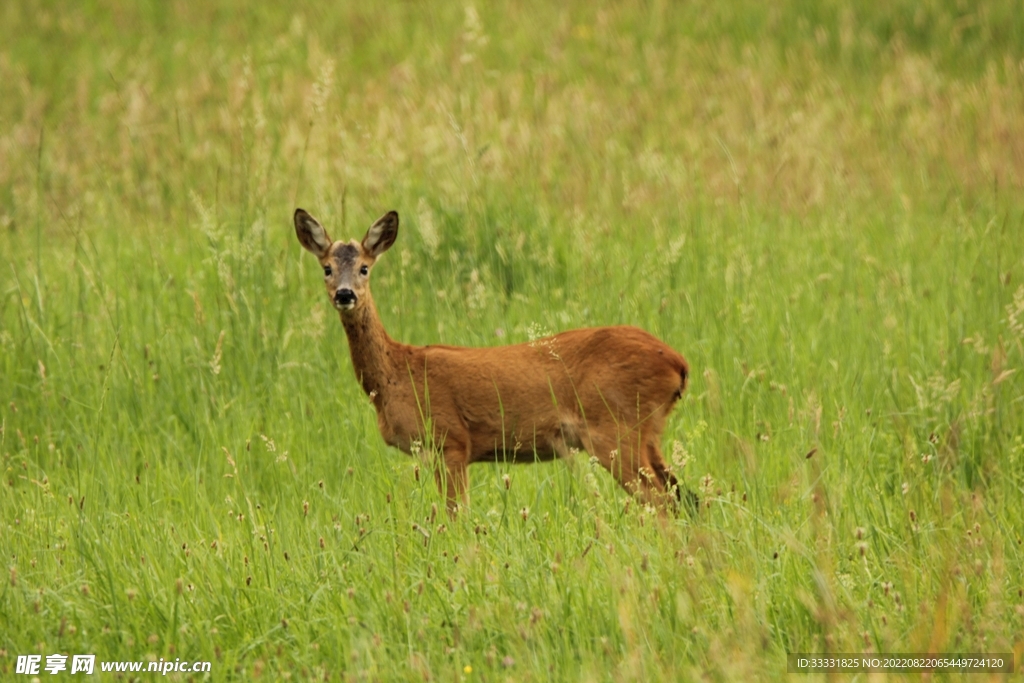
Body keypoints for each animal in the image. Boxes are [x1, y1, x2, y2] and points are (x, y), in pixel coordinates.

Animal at [294, 207, 694, 515]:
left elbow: (455, 518)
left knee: (662, 504)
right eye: (327, 268)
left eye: (364, 267)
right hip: (646, 434)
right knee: (686, 499)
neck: (397, 374)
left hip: (616, 428)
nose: (345, 294)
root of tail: (679, 363)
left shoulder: (451, 441)